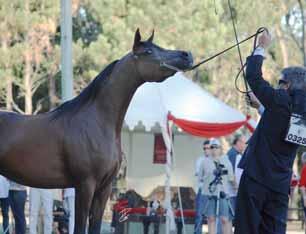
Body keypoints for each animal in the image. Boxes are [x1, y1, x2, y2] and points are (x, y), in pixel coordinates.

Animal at [0, 29, 192, 234]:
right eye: (148, 51)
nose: (186, 55)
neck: (97, 121)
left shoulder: (104, 188)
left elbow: (95, 226)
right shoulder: (85, 185)